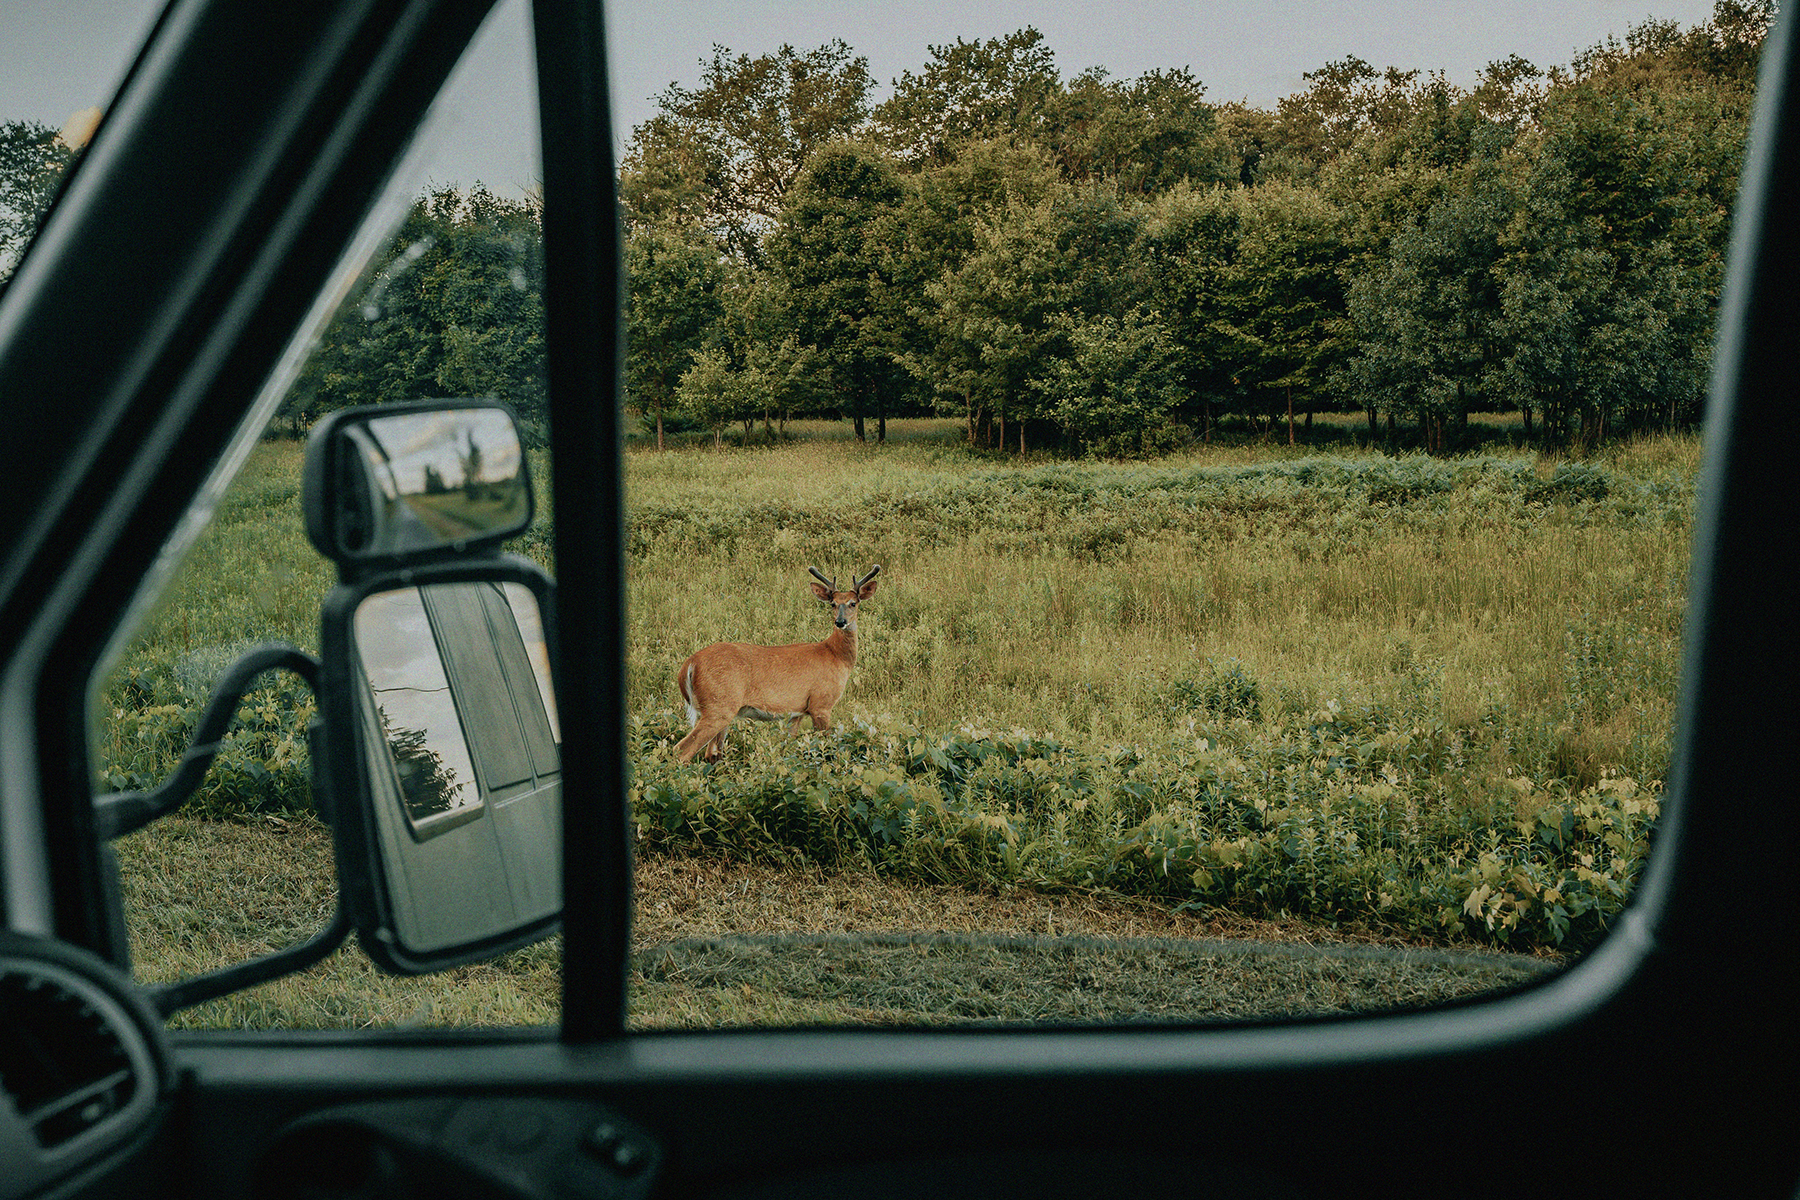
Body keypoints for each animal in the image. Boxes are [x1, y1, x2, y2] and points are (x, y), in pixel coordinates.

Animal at [673, 565, 881, 764]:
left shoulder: (797, 712)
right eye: (833, 603)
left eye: (853, 603)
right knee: (682, 750)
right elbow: (826, 747)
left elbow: (787, 748)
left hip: (722, 710)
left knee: (712, 754)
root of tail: (690, 664)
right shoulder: (821, 703)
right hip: (718, 706)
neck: (835, 654)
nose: (840, 621)